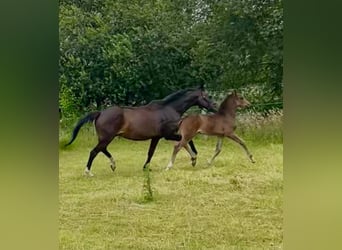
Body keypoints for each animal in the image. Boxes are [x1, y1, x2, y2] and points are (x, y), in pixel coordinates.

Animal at [65, 86, 215, 176]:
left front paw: (146, 167)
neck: (169, 109)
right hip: (107, 137)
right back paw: (88, 172)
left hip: (106, 138)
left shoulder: (156, 137)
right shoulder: (167, 135)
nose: (214, 106)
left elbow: (151, 152)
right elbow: (186, 141)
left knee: (102, 149)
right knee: (94, 151)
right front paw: (194, 157)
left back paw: (113, 165)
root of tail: (100, 113)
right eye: (206, 96)